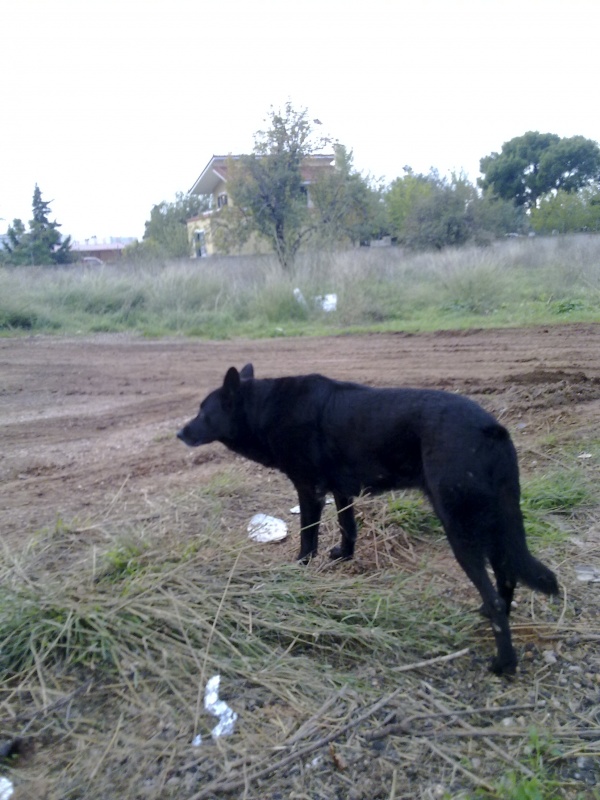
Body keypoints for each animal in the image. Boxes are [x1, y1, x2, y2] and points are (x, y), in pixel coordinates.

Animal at [177, 364, 558, 675]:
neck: (266, 409)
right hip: (490, 525)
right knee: (506, 578)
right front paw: (343, 556)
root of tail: (490, 428)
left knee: (496, 592)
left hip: (461, 529)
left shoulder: (310, 490)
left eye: (203, 412)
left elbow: (308, 537)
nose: (179, 434)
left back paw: (504, 664)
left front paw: (299, 568)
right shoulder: (340, 490)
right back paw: (492, 616)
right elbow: (348, 527)